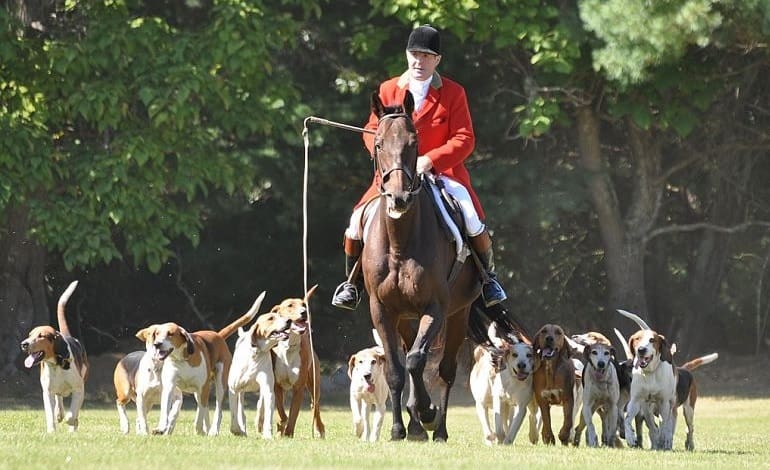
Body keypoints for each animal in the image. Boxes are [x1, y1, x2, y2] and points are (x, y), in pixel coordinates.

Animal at [362, 91, 480, 440]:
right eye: (378, 143)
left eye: (414, 143)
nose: (398, 198)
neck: (400, 242)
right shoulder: (381, 310)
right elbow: (396, 369)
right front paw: (400, 428)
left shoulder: (436, 308)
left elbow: (416, 360)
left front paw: (426, 413)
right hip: (404, 318)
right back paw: (415, 423)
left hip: (458, 315)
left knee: (445, 370)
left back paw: (437, 427)